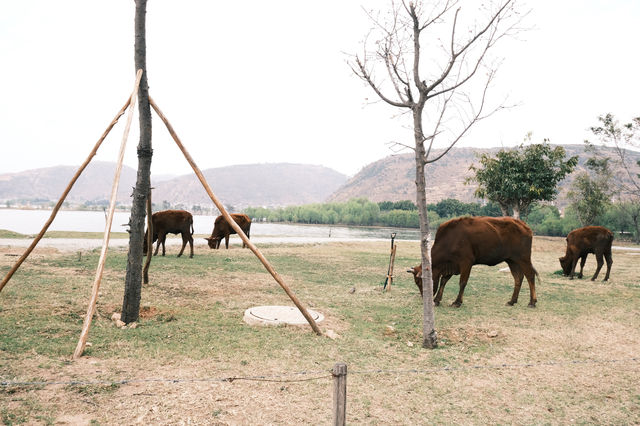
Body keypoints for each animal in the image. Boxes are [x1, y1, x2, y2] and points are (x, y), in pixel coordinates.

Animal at [408, 218, 536, 308]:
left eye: (420, 281)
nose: (424, 298)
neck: (450, 239)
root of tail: (524, 225)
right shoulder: (451, 265)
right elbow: (443, 281)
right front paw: (437, 300)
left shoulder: (466, 263)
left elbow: (462, 282)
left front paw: (457, 302)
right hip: (512, 260)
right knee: (518, 278)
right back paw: (512, 301)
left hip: (523, 258)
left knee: (530, 276)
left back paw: (532, 302)